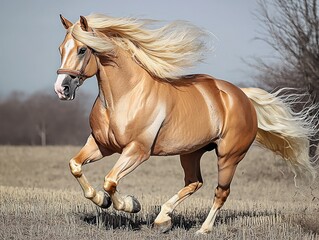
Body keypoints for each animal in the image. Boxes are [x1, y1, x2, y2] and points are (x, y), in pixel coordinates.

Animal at [54, 13, 318, 234]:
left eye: (82, 49)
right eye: (60, 49)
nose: (62, 88)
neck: (124, 96)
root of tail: (242, 97)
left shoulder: (137, 151)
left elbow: (110, 181)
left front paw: (131, 204)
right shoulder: (101, 144)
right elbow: (75, 166)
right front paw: (102, 200)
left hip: (229, 156)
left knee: (221, 192)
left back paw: (203, 229)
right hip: (191, 153)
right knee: (194, 182)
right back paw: (163, 219)